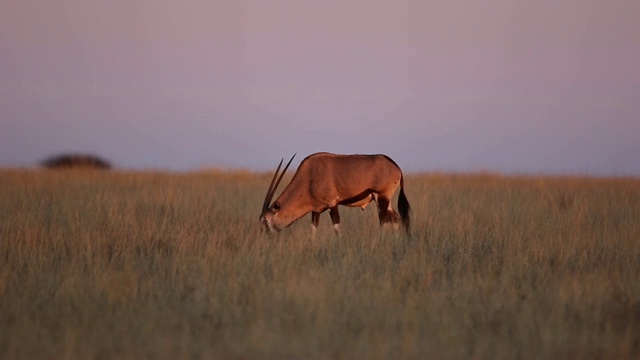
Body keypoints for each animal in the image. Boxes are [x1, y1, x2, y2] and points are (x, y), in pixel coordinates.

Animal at [260, 153, 410, 235]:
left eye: (264, 221)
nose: (265, 238)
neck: (309, 177)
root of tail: (396, 167)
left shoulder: (332, 204)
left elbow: (337, 229)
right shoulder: (316, 210)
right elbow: (313, 230)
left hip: (381, 199)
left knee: (385, 222)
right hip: (385, 201)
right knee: (396, 220)